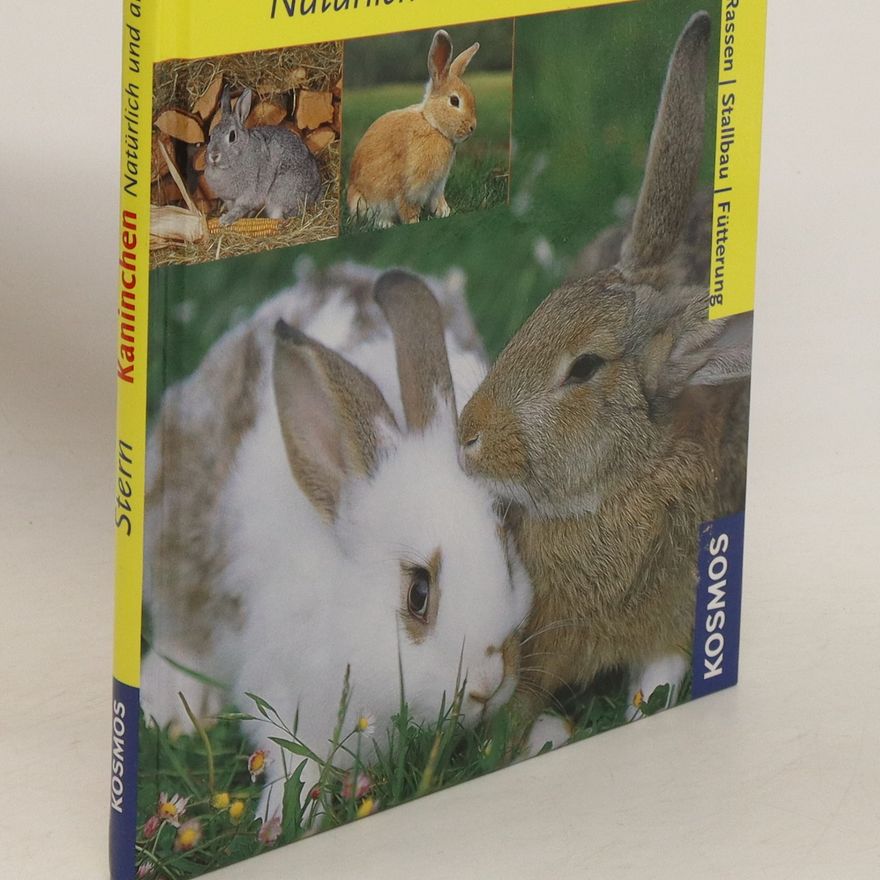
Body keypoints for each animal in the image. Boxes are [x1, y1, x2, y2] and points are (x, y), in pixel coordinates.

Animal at [205, 85, 322, 226]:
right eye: (211, 135)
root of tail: (316, 193)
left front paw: (225, 220)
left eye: (232, 136)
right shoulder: (230, 199)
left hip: (282, 192)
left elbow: (240, 208)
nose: (214, 155)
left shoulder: (249, 193)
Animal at [347, 30, 480, 227]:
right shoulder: (410, 187)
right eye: (455, 101)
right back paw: (385, 224)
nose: (472, 127)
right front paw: (414, 222)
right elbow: (407, 207)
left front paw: (445, 212)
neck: (432, 125)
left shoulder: (437, 186)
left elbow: (438, 200)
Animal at [456, 12, 753, 750]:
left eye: (585, 368)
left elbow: (659, 677)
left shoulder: (671, 620)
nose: (466, 437)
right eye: (543, 309)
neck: (623, 485)